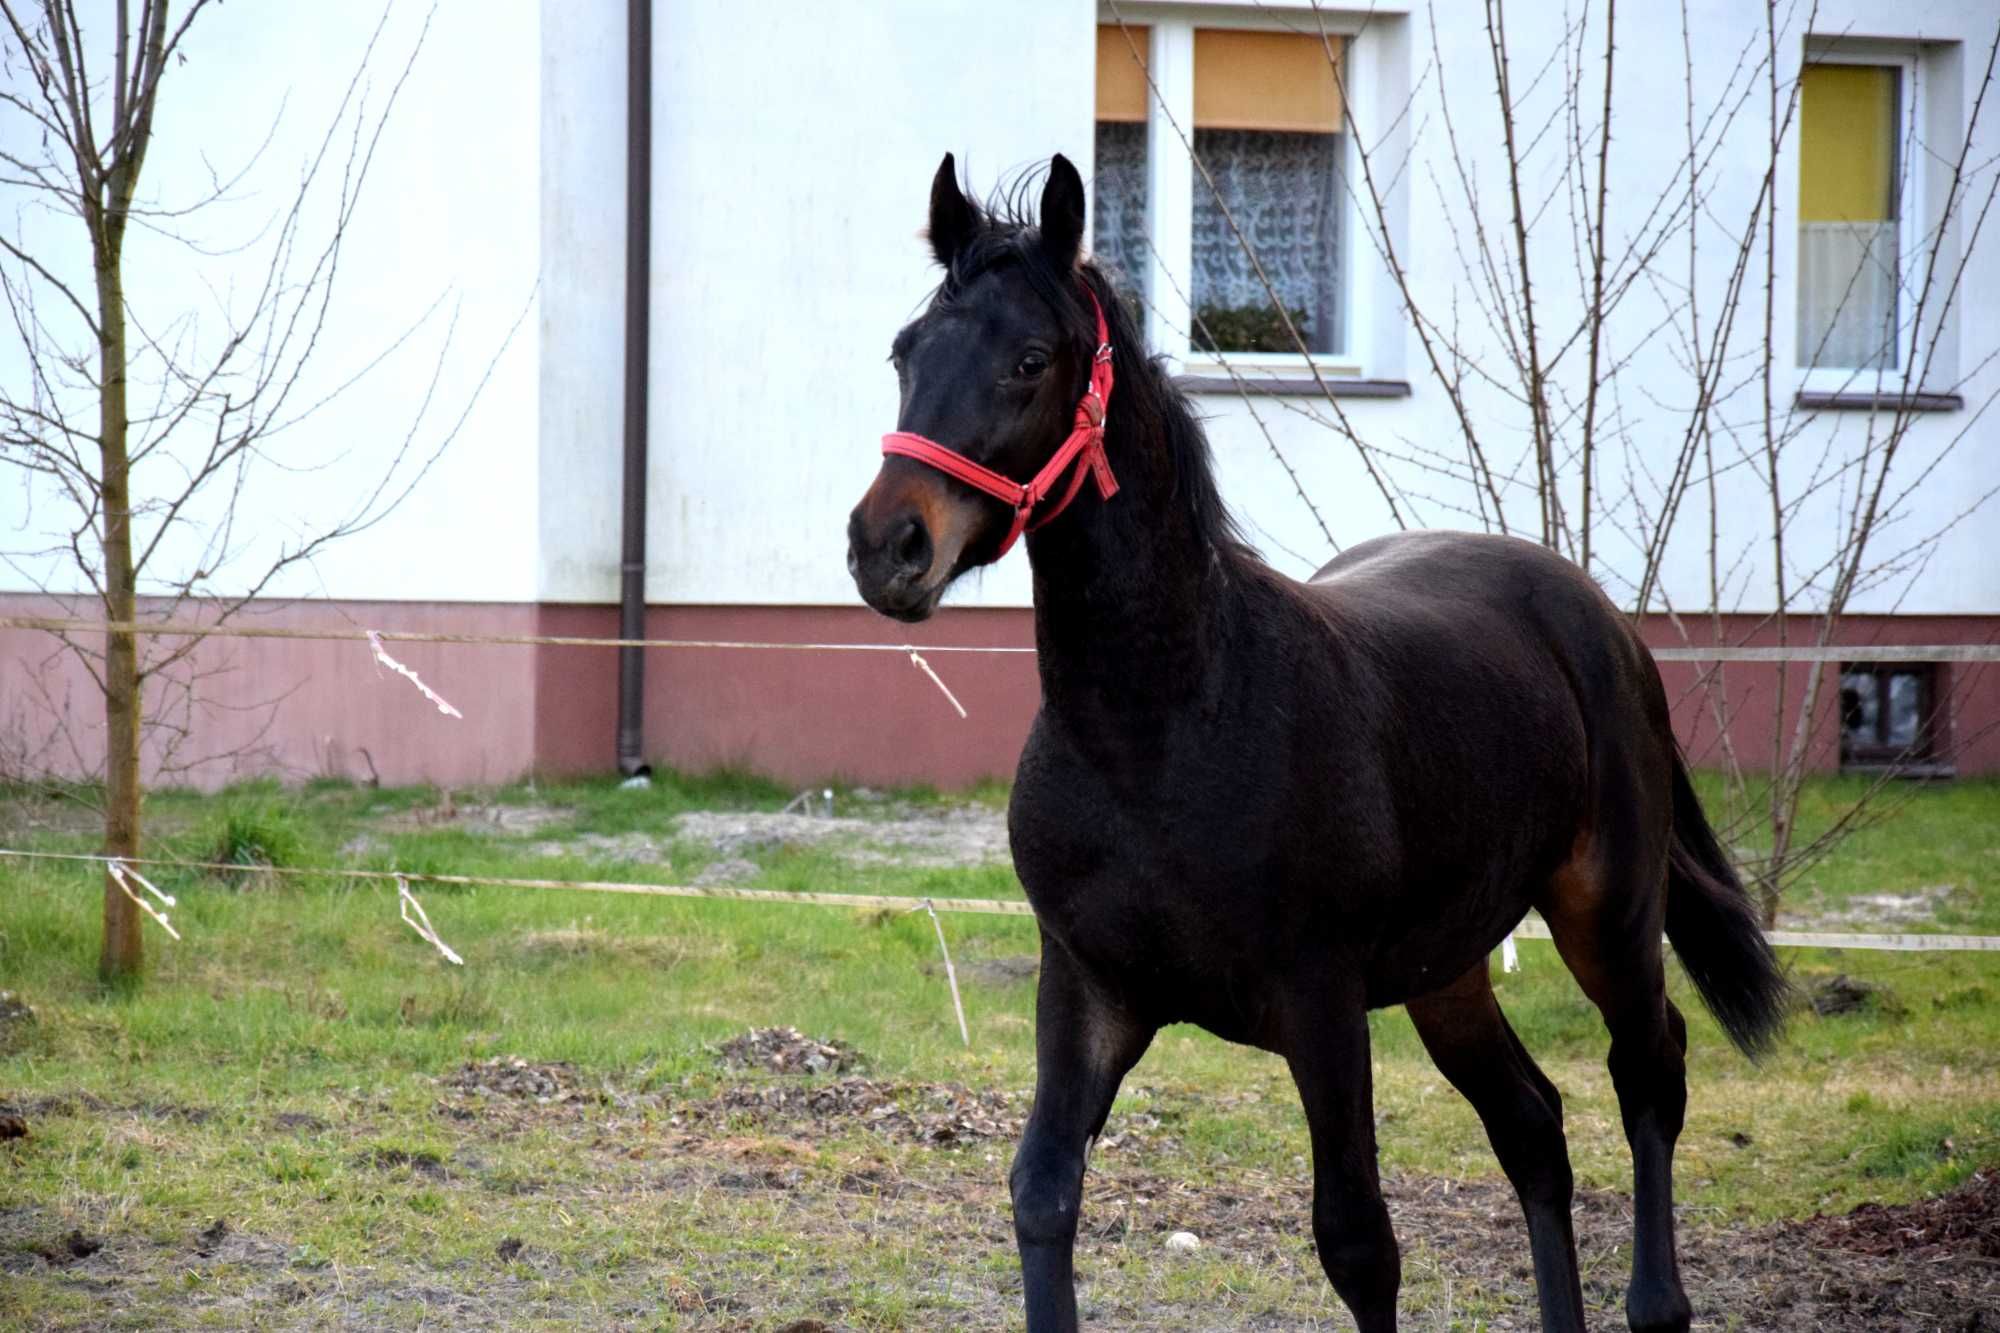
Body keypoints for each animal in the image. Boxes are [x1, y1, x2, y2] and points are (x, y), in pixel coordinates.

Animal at [840, 153, 1784, 1328]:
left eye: (1028, 360)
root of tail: (1600, 618)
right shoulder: (1086, 991)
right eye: (905, 351)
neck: (1161, 725)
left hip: (1604, 913)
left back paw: (1654, 1299)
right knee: (1532, 1124)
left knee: (1648, 1070)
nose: (886, 546)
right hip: (1446, 968)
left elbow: (1358, 1241)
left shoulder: (1320, 1003)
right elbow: (1042, 1192)